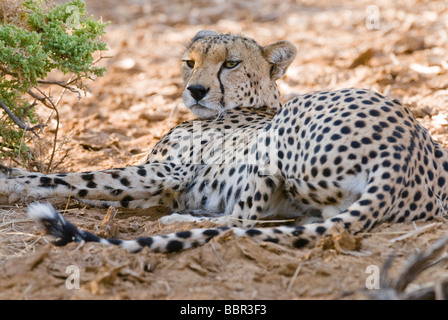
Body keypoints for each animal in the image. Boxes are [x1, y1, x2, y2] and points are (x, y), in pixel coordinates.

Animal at [0, 31, 448, 254]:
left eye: (231, 63)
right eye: (189, 62)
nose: (196, 90)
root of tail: (409, 147)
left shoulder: (168, 171)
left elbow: (77, 177)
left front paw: (10, 180)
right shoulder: (155, 185)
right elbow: (88, 189)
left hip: (279, 139)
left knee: (242, 220)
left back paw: (181, 221)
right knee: (284, 221)